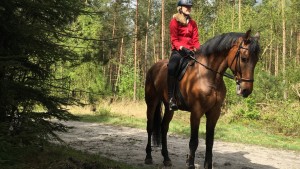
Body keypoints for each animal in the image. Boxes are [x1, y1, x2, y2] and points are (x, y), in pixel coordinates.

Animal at [144, 29, 258, 168]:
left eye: (256, 60)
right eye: (244, 58)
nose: (246, 90)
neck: (209, 76)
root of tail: (153, 67)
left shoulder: (214, 113)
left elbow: (210, 141)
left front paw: (207, 165)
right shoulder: (196, 112)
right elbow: (194, 141)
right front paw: (190, 164)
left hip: (169, 107)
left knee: (164, 127)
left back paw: (166, 158)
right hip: (151, 102)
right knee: (150, 127)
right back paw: (148, 157)